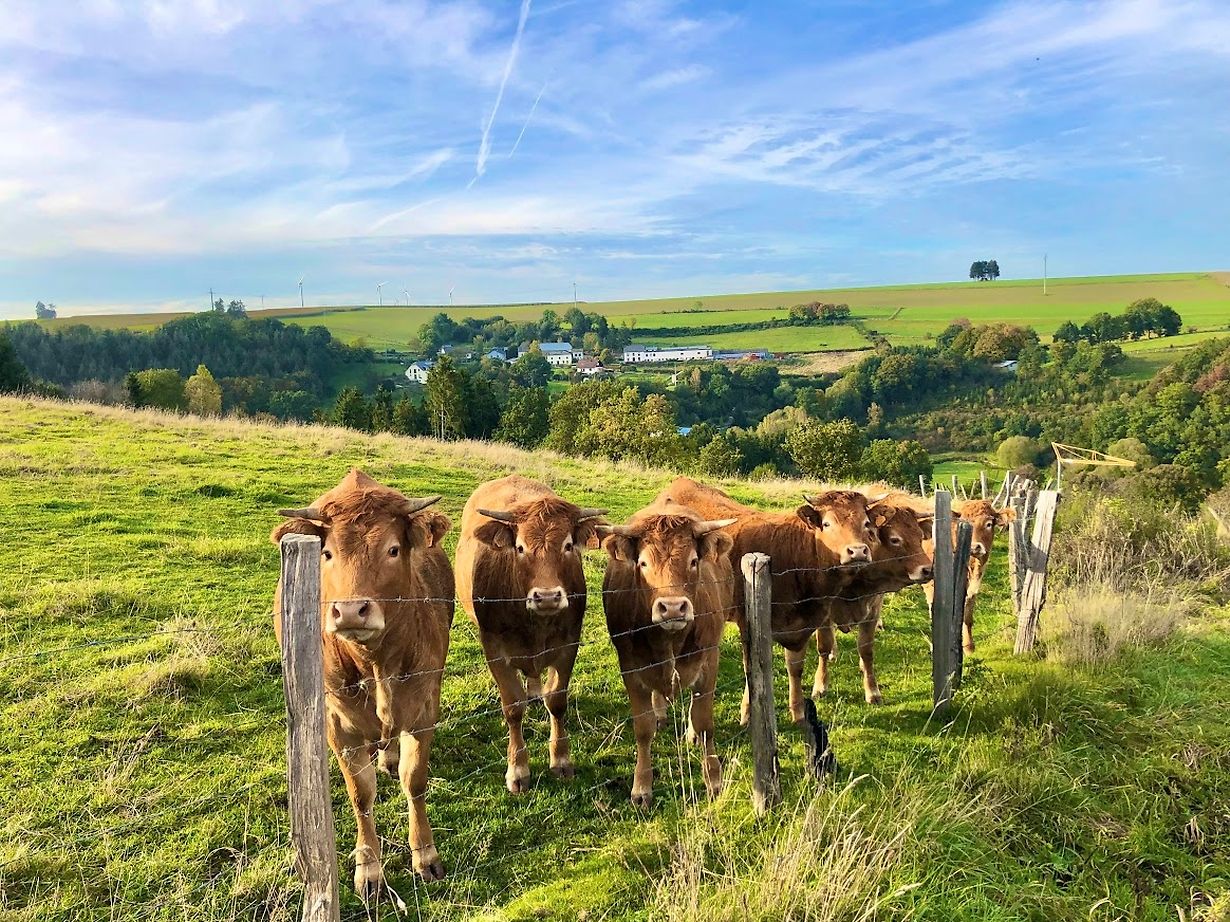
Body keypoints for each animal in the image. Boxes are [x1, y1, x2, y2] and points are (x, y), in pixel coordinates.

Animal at [270, 469, 453, 895]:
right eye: (327, 554)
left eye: (393, 550)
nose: (352, 611)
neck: (376, 665)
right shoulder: (337, 723)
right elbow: (361, 794)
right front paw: (368, 868)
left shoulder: (424, 708)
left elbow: (414, 780)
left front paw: (425, 854)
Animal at [454, 475, 606, 794]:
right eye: (520, 547)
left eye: (568, 545)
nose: (547, 597)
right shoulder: (494, 649)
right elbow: (513, 707)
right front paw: (517, 769)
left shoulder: (568, 644)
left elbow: (557, 701)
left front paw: (561, 760)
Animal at [599, 503, 736, 807]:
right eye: (643, 563)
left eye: (694, 561)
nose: (672, 608)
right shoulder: (630, 667)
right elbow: (643, 727)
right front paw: (641, 788)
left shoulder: (709, 661)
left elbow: (704, 721)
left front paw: (714, 780)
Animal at [656, 477, 877, 724]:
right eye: (828, 524)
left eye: (866, 523)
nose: (858, 551)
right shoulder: (748, 623)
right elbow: (752, 669)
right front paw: (748, 713)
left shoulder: (802, 626)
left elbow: (795, 667)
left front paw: (797, 710)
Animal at [812, 493, 935, 704]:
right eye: (895, 539)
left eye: (920, 537)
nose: (927, 569)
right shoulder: (825, 612)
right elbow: (824, 646)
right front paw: (820, 686)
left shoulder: (873, 611)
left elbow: (866, 650)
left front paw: (872, 691)